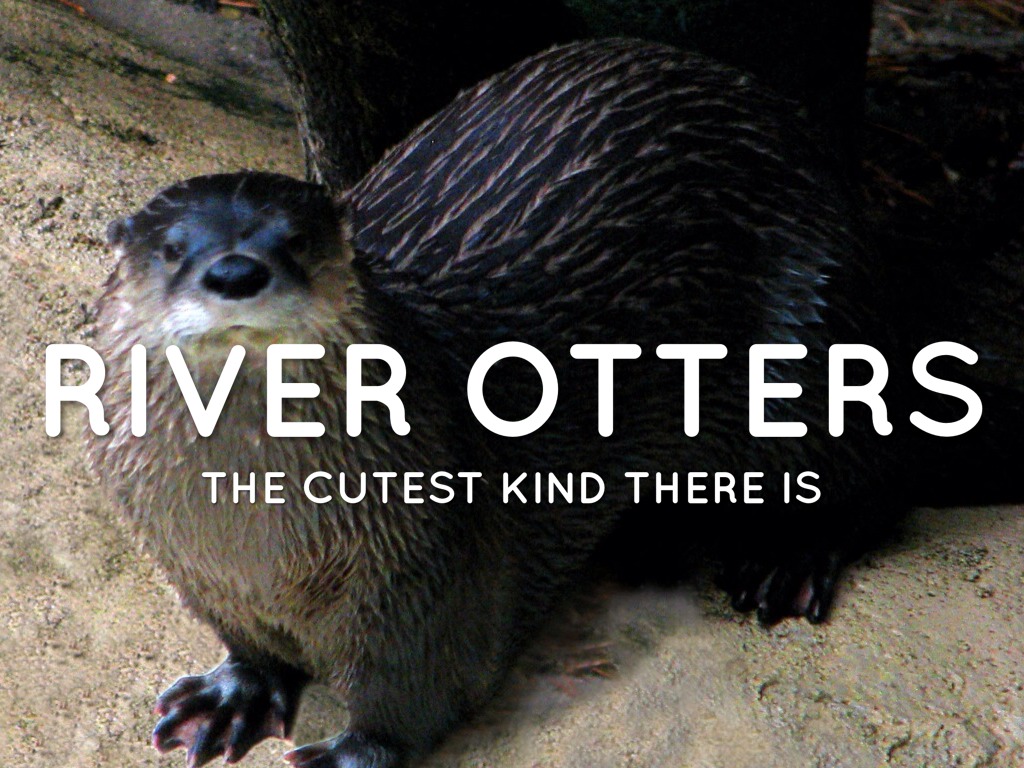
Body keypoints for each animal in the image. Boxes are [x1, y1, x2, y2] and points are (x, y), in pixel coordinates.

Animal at [90, 39, 910, 768]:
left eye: (298, 240)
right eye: (172, 249)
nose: (235, 271)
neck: (257, 545)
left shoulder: (430, 563)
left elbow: (416, 691)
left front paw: (354, 752)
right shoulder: (196, 570)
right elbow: (250, 646)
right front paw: (233, 695)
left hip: (811, 335)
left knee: (870, 471)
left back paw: (785, 558)